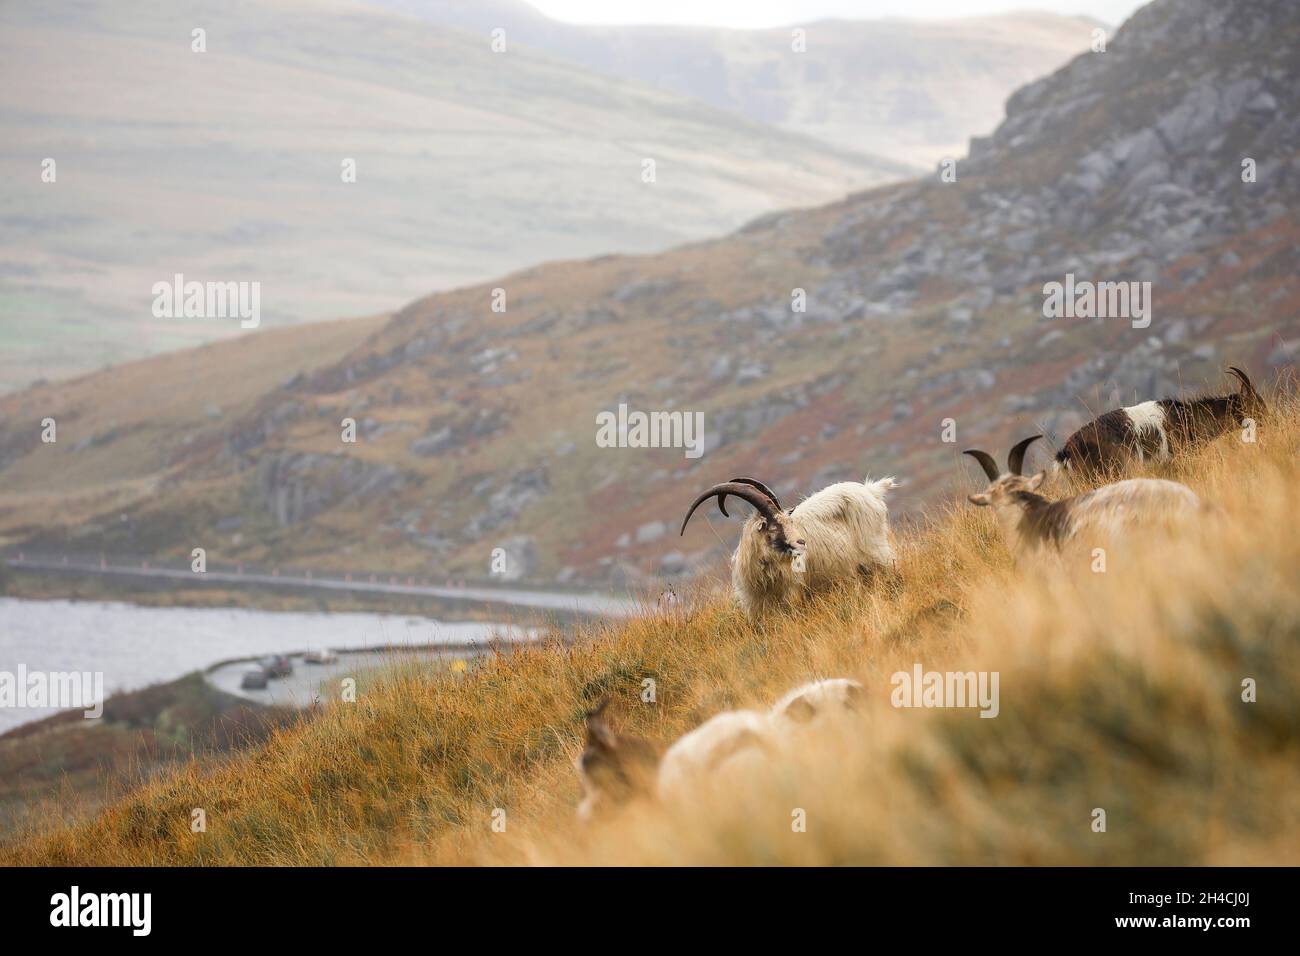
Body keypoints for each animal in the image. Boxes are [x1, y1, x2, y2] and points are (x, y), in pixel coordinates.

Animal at [676, 473, 899, 621]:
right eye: (774, 526)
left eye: (789, 521)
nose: (802, 542)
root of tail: (871, 490)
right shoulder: (755, 605)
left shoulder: (792, 595)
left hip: (878, 553)